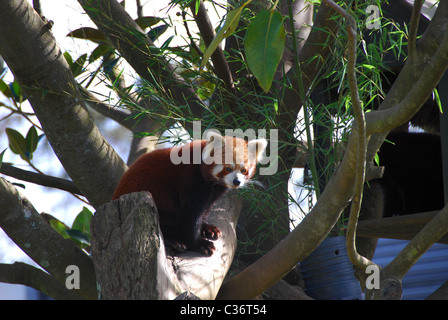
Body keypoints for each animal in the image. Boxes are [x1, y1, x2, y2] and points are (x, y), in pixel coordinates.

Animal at [113, 132, 266, 255]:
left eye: (244, 170)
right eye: (228, 168)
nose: (236, 181)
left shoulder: (213, 193)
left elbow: (204, 210)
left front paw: (207, 228)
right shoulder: (190, 180)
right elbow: (191, 215)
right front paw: (199, 243)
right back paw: (173, 241)